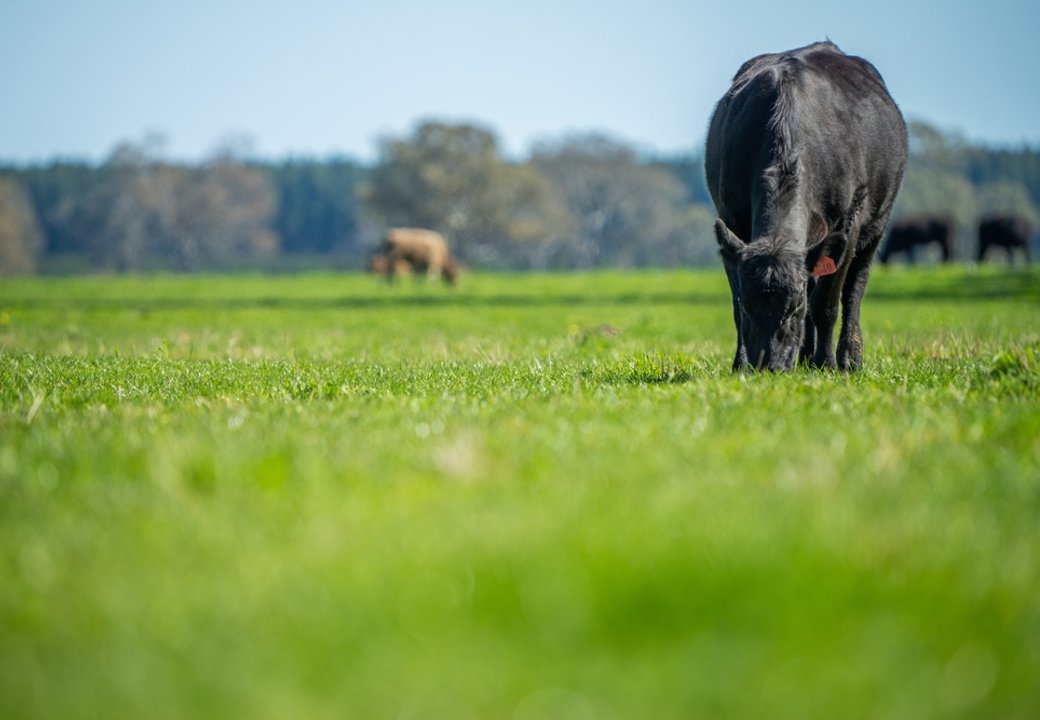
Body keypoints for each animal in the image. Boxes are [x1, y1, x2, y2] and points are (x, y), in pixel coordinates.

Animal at [705, 41, 907, 371]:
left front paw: (826, 362)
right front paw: (741, 364)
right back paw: (805, 356)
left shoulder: (848, 224)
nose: (769, 364)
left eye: (795, 306)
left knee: (854, 289)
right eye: (749, 306)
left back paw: (848, 358)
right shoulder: (731, 224)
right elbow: (735, 303)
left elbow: (825, 303)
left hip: (877, 226)